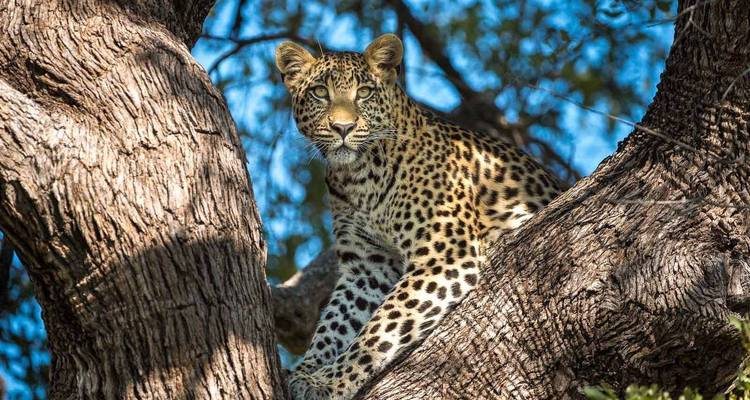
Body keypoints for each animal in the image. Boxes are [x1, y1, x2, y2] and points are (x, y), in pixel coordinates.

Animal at [275, 33, 561, 399]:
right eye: (319, 93)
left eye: (364, 93)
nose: (342, 127)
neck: (359, 177)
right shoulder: (367, 268)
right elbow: (335, 324)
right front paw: (306, 369)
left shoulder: (445, 255)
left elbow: (380, 328)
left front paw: (331, 380)